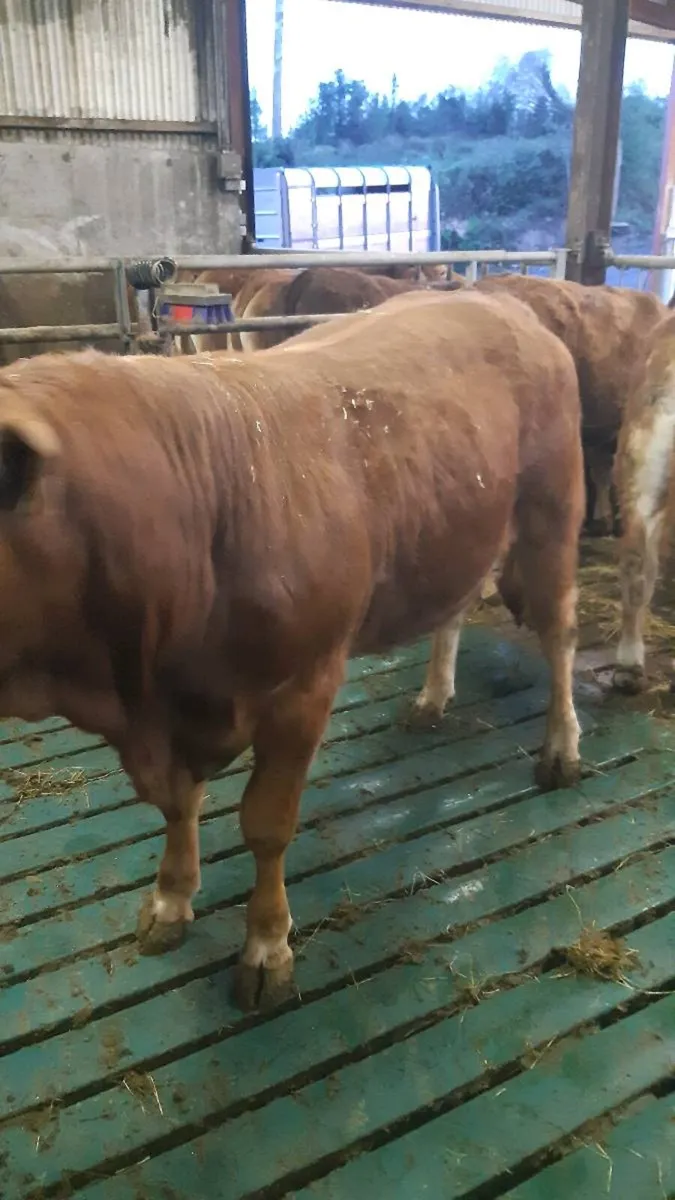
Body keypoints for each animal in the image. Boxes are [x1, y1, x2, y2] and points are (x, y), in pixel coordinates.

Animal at [0, 287, 583, 1012]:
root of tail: (494, 296)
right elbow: (178, 805)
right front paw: (170, 900)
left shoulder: (301, 689)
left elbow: (266, 824)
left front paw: (266, 947)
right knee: (453, 607)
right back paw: (432, 697)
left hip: (552, 509)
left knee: (560, 632)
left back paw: (561, 749)